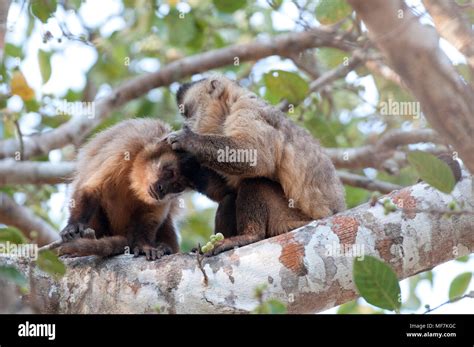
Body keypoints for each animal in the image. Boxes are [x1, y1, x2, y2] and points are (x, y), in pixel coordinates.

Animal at [57, 119, 180, 260]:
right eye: (169, 173)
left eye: (177, 185)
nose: (162, 190)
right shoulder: (126, 150)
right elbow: (92, 189)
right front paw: (74, 225)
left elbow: (150, 216)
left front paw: (144, 246)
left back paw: (164, 247)